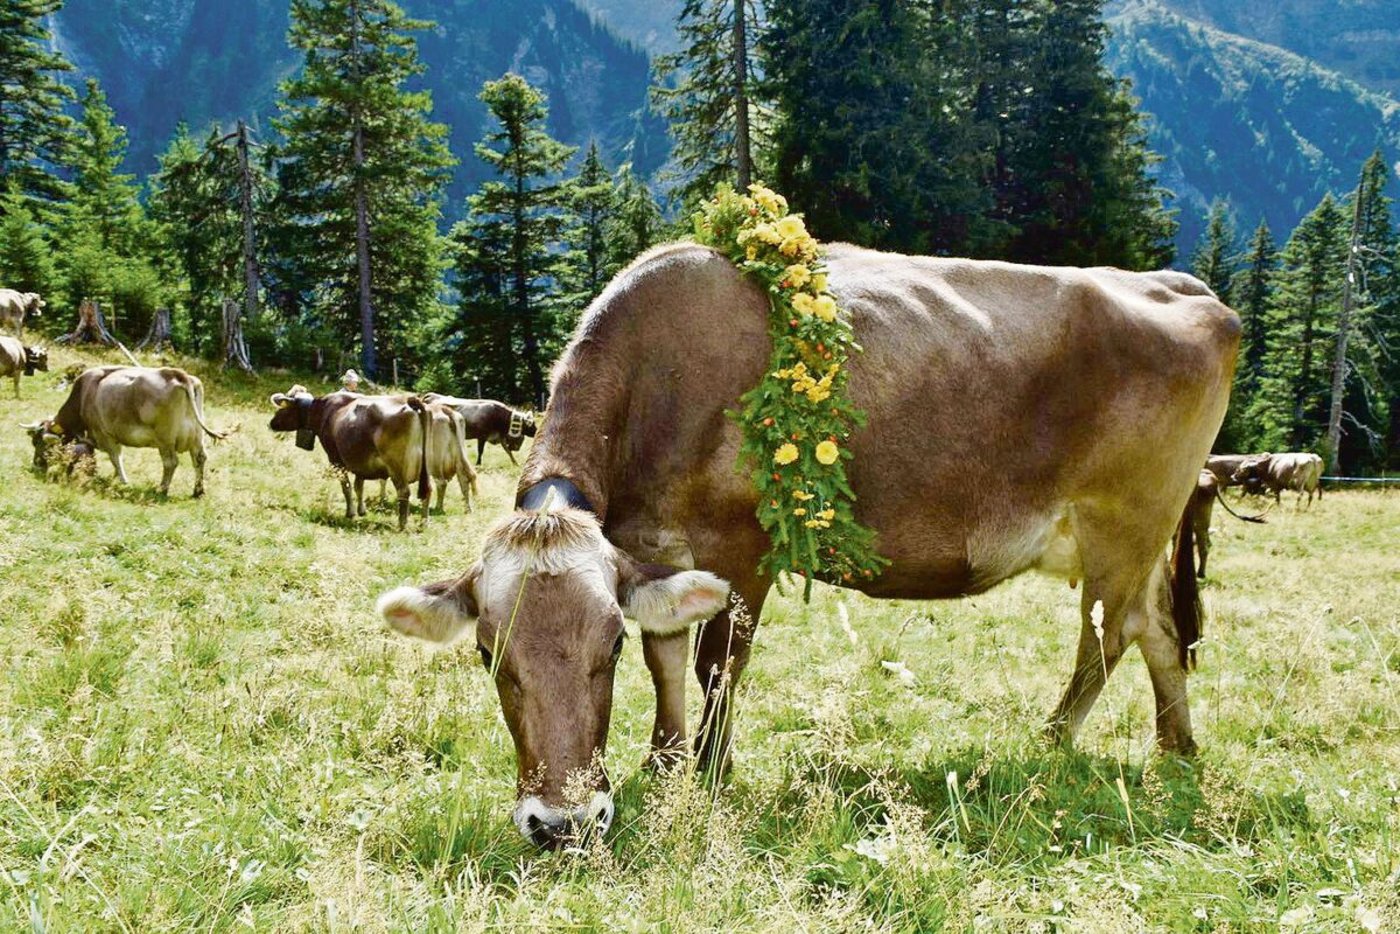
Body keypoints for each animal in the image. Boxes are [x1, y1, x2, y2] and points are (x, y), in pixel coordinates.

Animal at [23, 365, 225, 496]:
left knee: (170, 463)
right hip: (196, 436)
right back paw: (198, 491)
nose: (36, 464)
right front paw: (111, 477)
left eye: (39, 443)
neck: (84, 395)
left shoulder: (105, 435)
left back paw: (162, 489)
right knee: (199, 458)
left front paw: (122, 480)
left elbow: (116, 459)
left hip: (165, 439)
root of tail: (176, 374)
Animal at [268, 386, 435, 531]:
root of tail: (409, 400)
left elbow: (346, 487)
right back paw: (424, 523)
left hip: (397, 467)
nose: (272, 423)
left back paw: (402, 524)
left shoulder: (336, 459)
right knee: (427, 491)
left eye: (283, 407)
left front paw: (350, 513)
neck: (324, 410)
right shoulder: (360, 462)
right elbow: (358, 486)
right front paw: (361, 511)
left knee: (404, 492)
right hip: (426, 468)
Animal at [377, 243, 1241, 847]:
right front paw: (664, 758)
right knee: (1161, 630)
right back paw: (1176, 749)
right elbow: (668, 654)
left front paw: (710, 773)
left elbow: (715, 664)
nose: (562, 825)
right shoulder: (649, 548)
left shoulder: (741, 549)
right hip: (1139, 535)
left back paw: (1049, 744)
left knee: (1109, 636)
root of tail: (1186, 289)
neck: (661, 379)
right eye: (488, 654)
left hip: (1122, 522)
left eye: (604, 649)